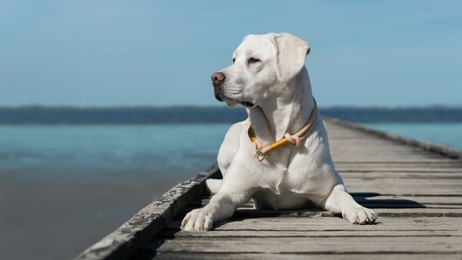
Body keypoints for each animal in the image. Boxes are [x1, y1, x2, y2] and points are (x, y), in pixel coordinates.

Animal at [180, 33, 376, 232]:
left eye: (253, 60)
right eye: (234, 59)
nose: (214, 77)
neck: (278, 138)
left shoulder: (328, 189)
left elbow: (343, 194)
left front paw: (358, 208)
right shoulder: (232, 191)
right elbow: (216, 200)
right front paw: (200, 213)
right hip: (230, 137)